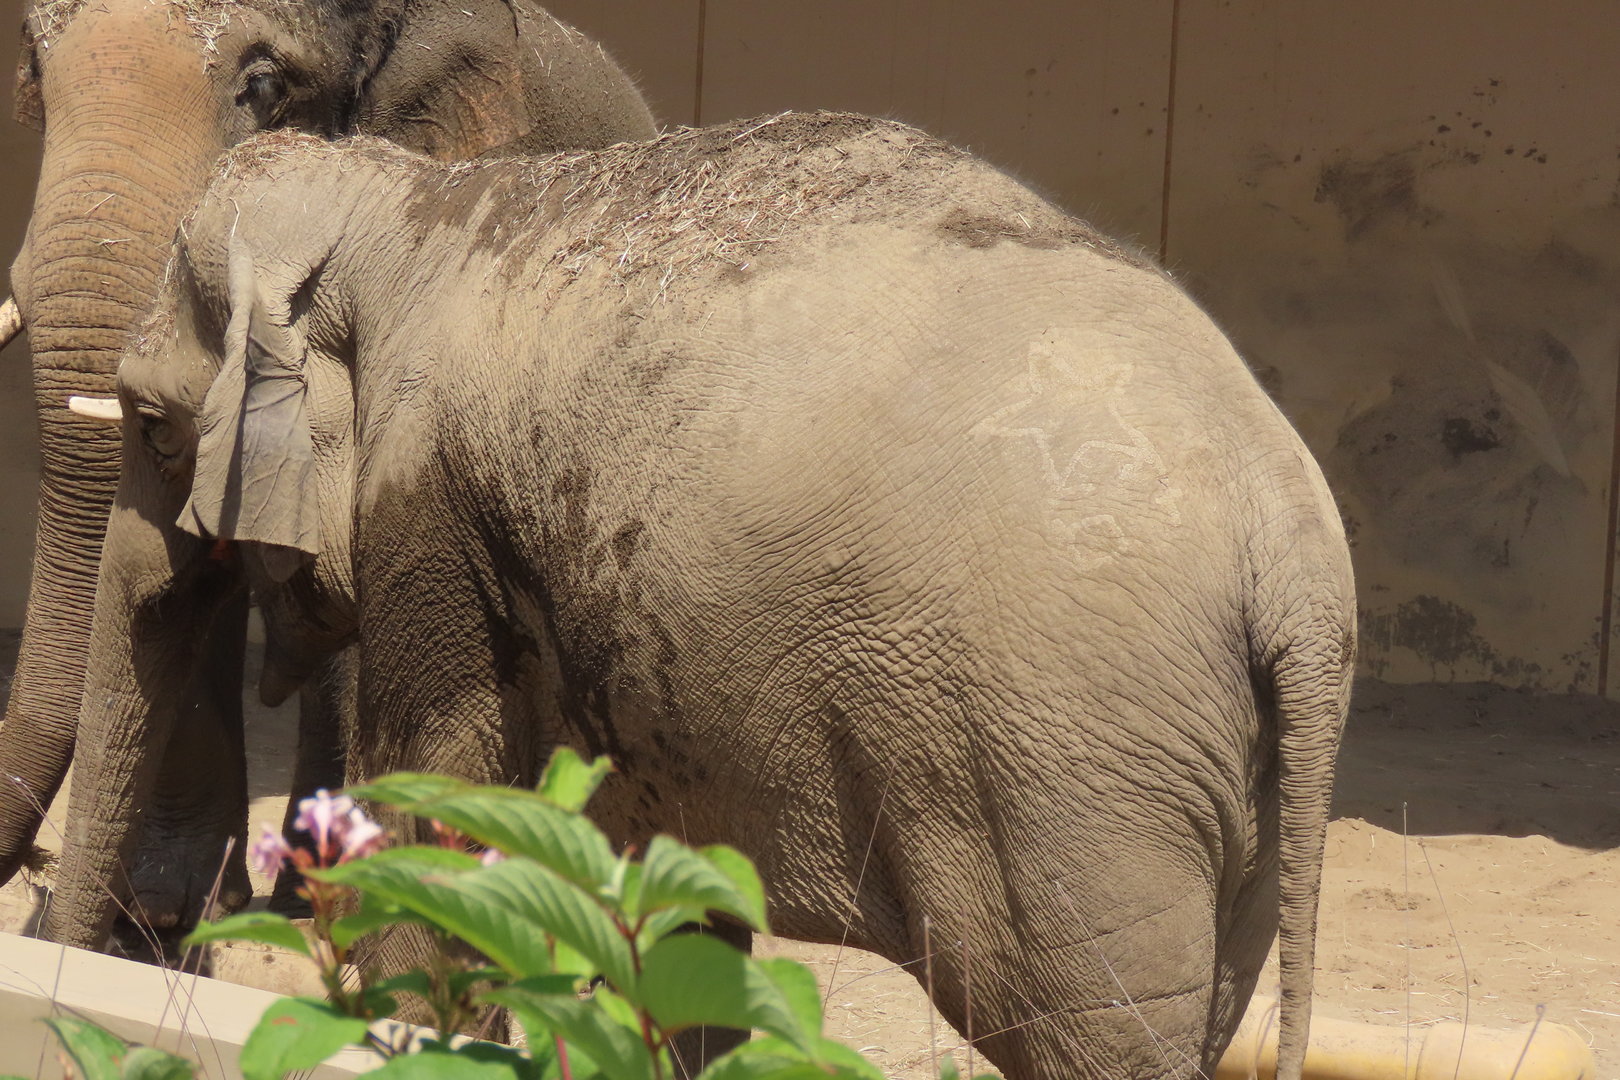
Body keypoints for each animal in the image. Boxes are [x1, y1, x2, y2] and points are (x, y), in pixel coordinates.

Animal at [67, 113, 1355, 1080]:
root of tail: (1290, 545)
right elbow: (678, 906)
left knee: (1087, 1029)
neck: (408, 204)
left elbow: (439, 817)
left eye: (150, 425)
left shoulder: (430, 510)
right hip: (1236, 782)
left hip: (1069, 764)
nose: (114, 950)